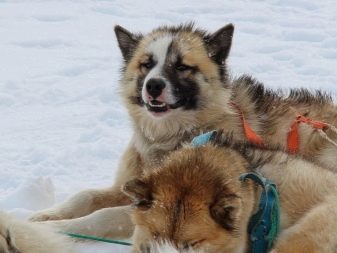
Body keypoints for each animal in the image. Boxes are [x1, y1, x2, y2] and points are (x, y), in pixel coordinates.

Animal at [29, 23, 336, 239]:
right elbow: (85, 196)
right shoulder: (126, 185)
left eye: (182, 67)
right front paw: (47, 215)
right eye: (147, 64)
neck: (168, 138)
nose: (153, 85)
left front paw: (56, 230)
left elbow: (102, 216)